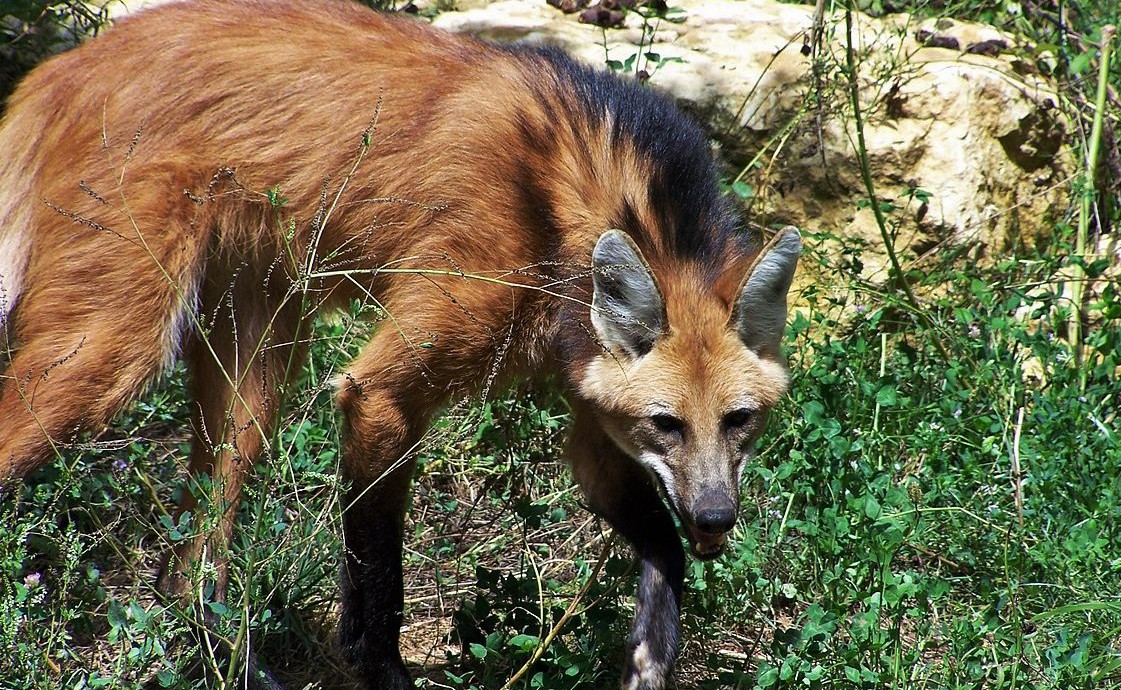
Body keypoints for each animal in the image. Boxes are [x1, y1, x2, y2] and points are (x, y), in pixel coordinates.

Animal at [0, 0, 798, 685]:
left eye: (740, 422)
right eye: (668, 424)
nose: (716, 518)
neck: (558, 210)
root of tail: (66, 65)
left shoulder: (590, 414)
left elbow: (662, 550)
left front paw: (647, 660)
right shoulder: (380, 393)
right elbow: (378, 583)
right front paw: (378, 670)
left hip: (256, 375)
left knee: (187, 571)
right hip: (108, 358)